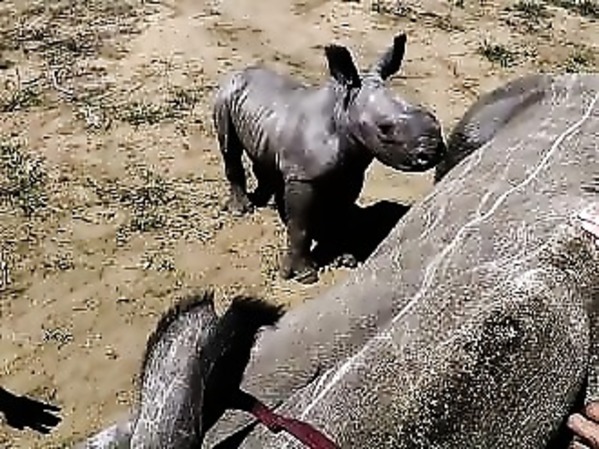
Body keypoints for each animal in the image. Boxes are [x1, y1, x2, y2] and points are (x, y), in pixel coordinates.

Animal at [213, 33, 447, 284]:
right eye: (385, 129)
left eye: (430, 115)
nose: (433, 150)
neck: (342, 112)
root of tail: (239, 72)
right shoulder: (302, 176)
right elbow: (300, 225)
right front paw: (304, 275)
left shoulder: (351, 172)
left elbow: (340, 215)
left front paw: (344, 258)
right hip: (225, 96)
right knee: (229, 147)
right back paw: (242, 209)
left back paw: (268, 200)